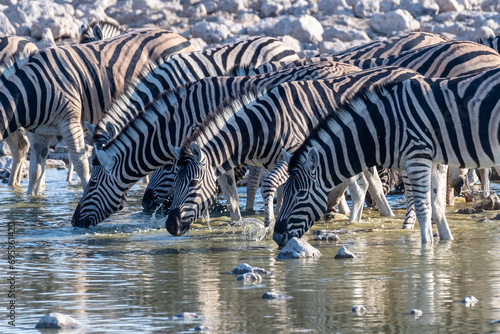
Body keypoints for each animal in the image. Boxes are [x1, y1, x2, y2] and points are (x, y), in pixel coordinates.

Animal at [0, 29, 194, 196]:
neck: (31, 90)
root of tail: (181, 38)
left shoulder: (70, 123)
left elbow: (81, 165)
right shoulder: (39, 134)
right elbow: (35, 172)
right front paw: (32, 203)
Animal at [161, 66, 426, 235]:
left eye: (193, 183)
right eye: (175, 183)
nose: (170, 226)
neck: (262, 125)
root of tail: (417, 73)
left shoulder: (293, 154)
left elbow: (269, 186)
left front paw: (268, 223)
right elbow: (280, 193)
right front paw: (278, 219)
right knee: (366, 187)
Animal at [274, 65, 500, 247]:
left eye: (301, 193)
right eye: (286, 191)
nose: (277, 236)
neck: (385, 126)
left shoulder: (417, 157)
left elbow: (423, 208)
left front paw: (426, 251)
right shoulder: (431, 159)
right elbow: (436, 207)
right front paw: (446, 244)